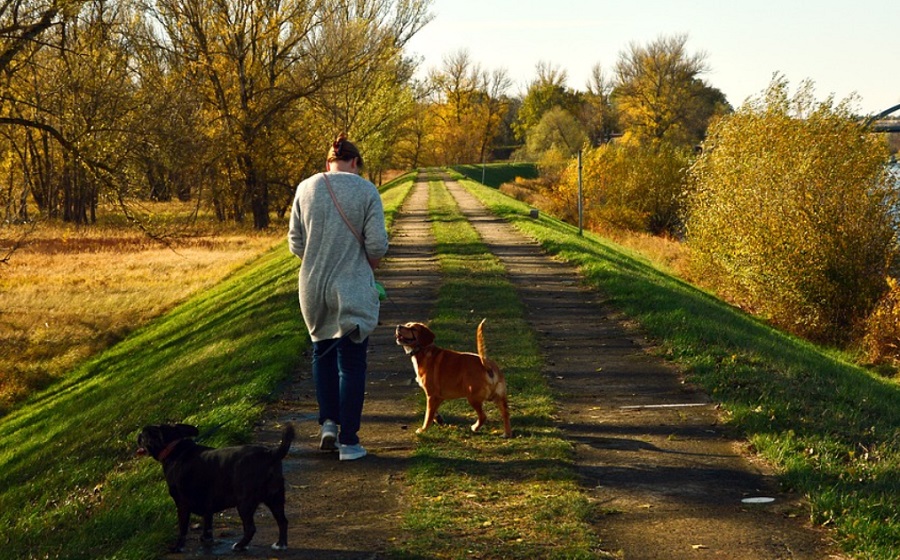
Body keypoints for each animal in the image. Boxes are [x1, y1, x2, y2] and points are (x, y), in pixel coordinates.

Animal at [136, 424, 296, 552]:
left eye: (144, 434)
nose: (138, 435)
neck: (174, 448)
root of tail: (271, 454)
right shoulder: (207, 502)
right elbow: (207, 523)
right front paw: (206, 539)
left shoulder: (182, 505)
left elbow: (182, 529)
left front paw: (178, 547)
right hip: (275, 498)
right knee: (283, 521)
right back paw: (281, 544)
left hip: (245, 503)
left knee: (251, 528)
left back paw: (240, 546)